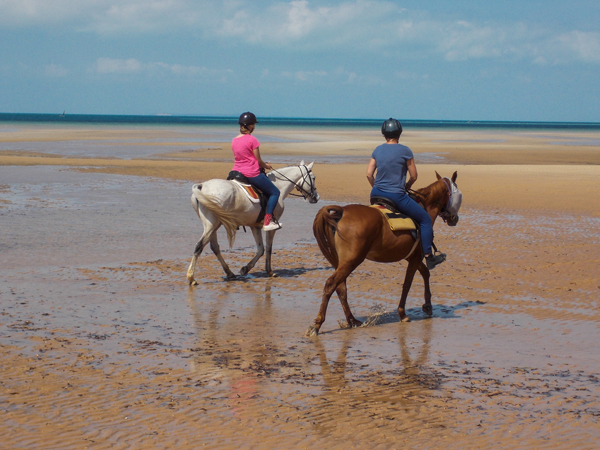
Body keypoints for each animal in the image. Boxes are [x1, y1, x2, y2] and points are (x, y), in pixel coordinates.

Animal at [186, 162, 318, 284]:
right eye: (313, 178)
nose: (316, 197)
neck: (278, 186)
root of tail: (202, 186)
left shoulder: (255, 226)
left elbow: (261, 249)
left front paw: (245, 269)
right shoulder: (270, 228)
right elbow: (268, 248)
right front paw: (269, 271)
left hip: (213, 225)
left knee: (214, 247)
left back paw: (229, 273)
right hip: (213, 225)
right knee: (199, 246)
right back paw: (191, 277)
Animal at [308, 171, 462, 336]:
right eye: (457, 193)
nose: (454, 219)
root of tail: (342, 211)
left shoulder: (412, 257)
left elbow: (425, 273)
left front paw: (427, 305)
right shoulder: (415, 258)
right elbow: (407, 284)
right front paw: (402, 313)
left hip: (340, 262)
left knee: (340, 287)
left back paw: (352, 320)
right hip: (351, 260)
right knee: (331, 284)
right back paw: (318, 324)